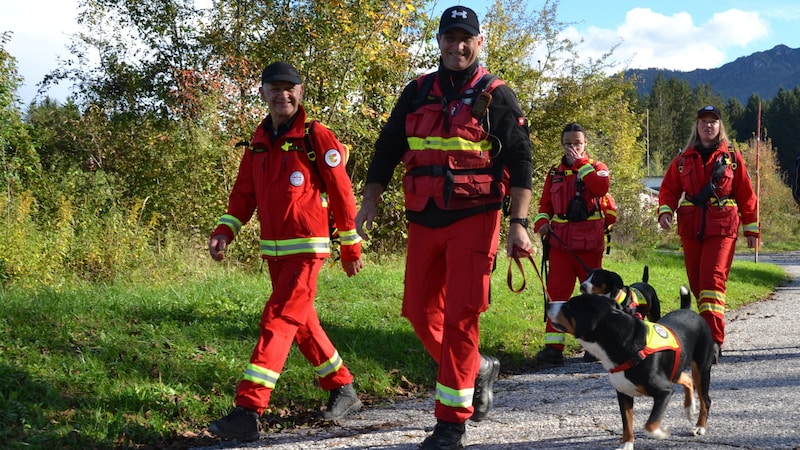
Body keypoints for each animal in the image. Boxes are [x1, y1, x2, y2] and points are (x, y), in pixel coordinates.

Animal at [552, 288, 712, 450]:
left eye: (568, 307)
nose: (549, 305)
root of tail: (689, 311)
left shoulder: (664, 392)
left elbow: (649, 425)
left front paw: (662, 433)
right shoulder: (624, 394)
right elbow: (627, 423)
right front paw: (627, 444)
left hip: (701, 370)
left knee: (705, 400)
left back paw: (700, 426)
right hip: (673, 371)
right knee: (687, 379)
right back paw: (689, 408)